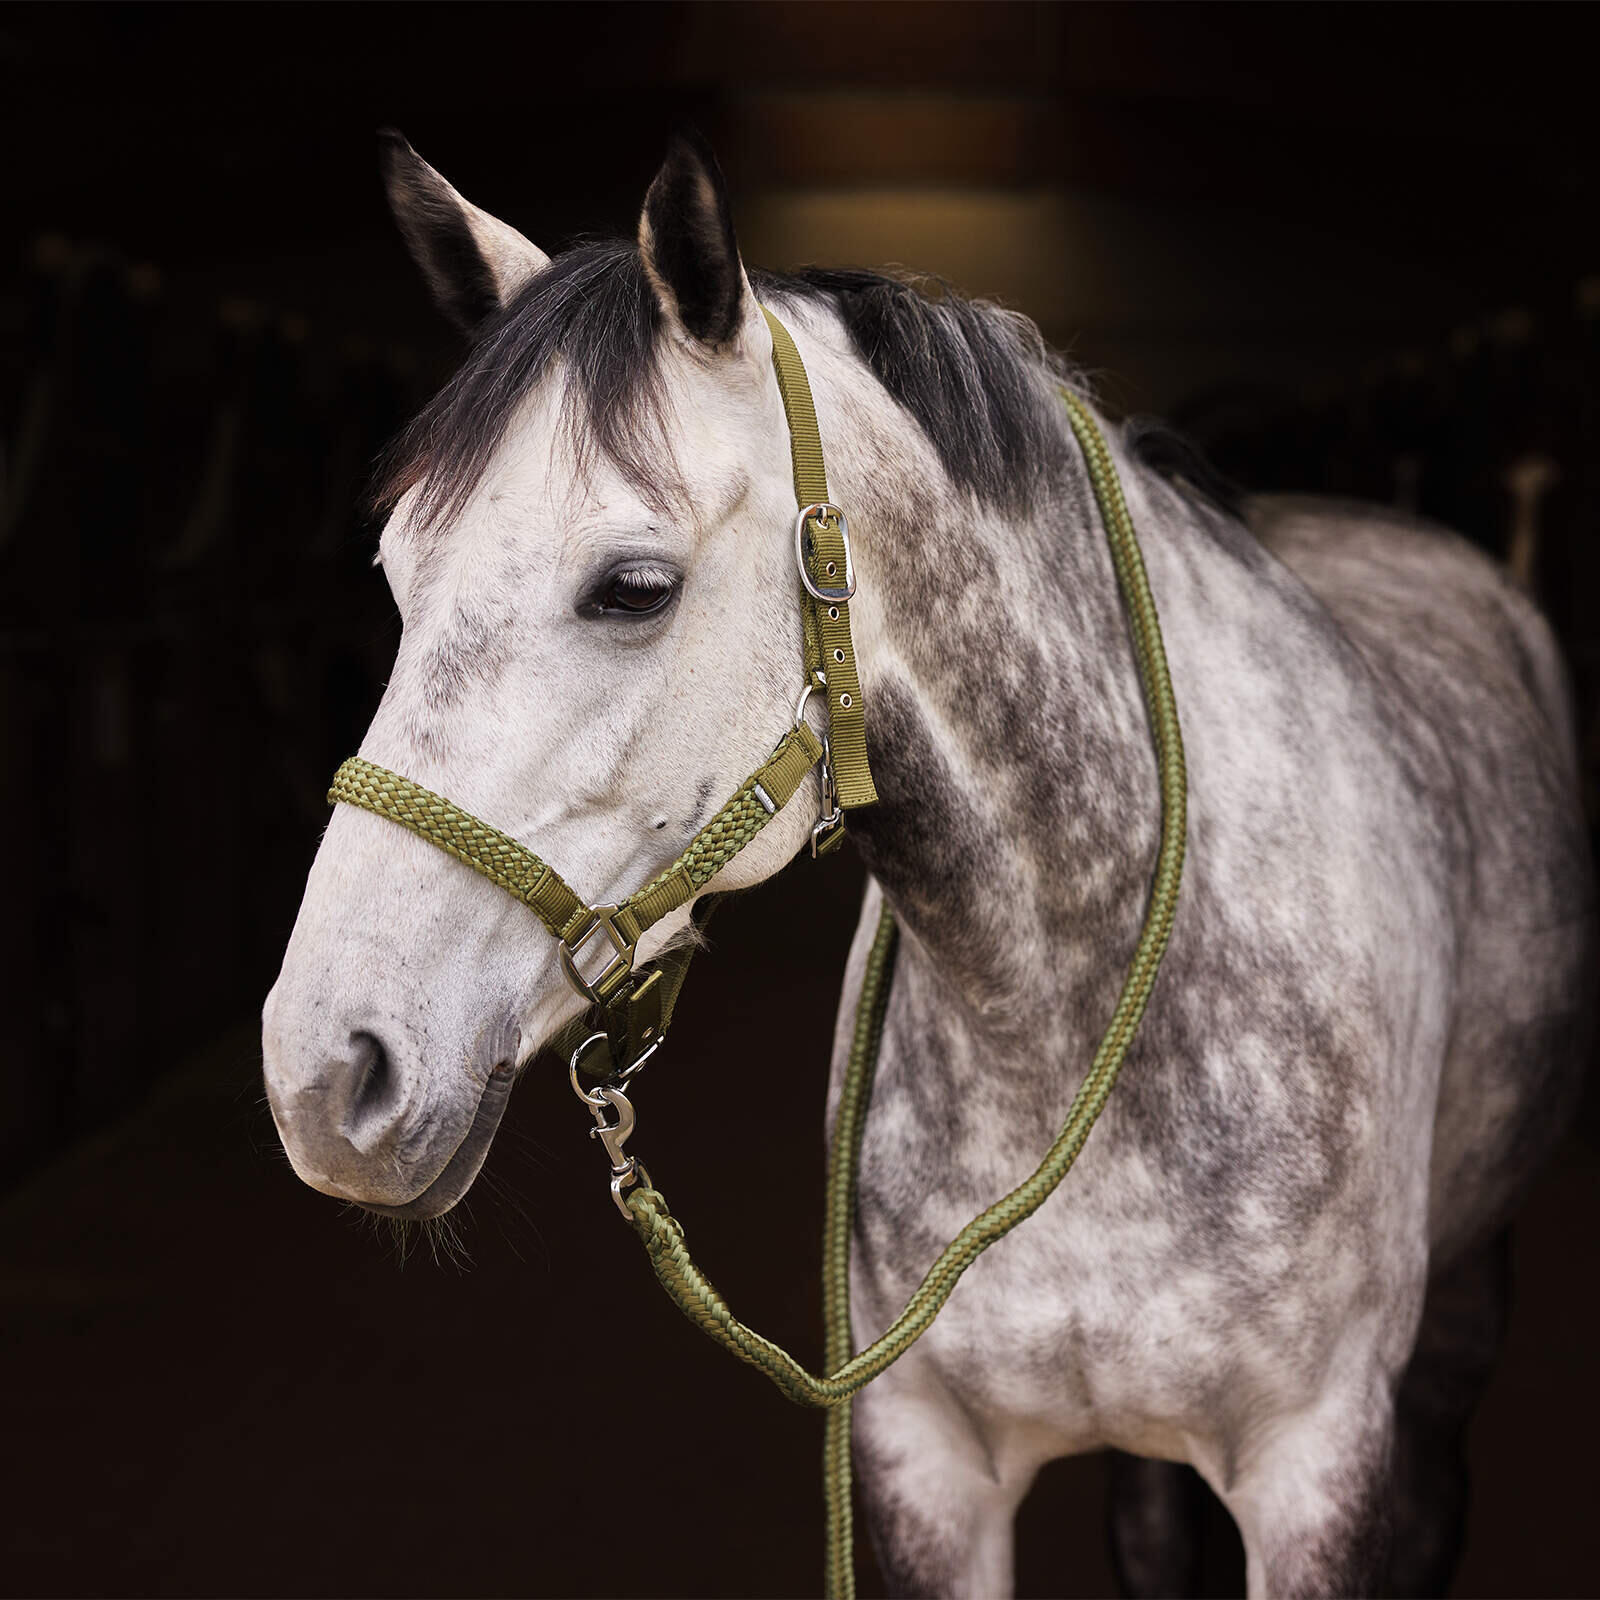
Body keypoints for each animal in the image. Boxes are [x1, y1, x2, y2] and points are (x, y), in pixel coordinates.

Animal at [262, 131, 1594, 1598]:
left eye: (631, 587)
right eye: (396, 569)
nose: (323, 1074)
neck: (1079, 1022)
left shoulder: (1320, 1468)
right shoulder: (921, 1460)